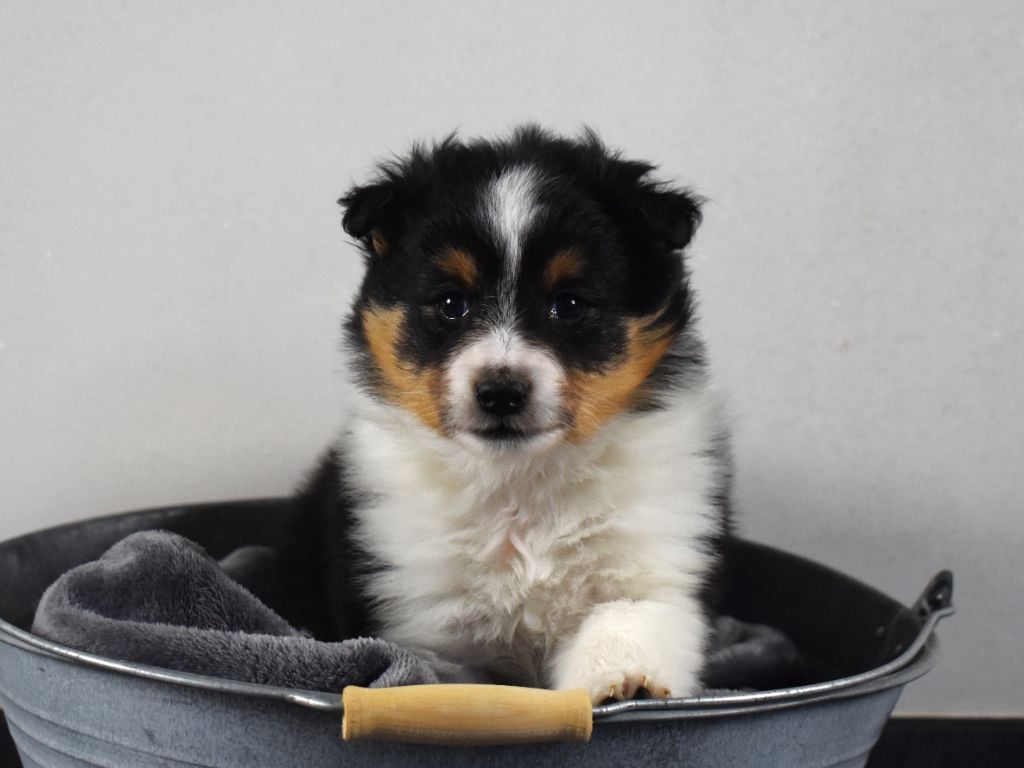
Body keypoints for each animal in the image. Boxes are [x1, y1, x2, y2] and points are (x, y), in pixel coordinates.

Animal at [292, 128, 733, 708]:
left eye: (569, 304)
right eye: (450, 302)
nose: (500, 392)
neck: (520, 487)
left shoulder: (658, 562)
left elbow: (630, 616)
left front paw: (620, 677)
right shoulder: (426, 621)